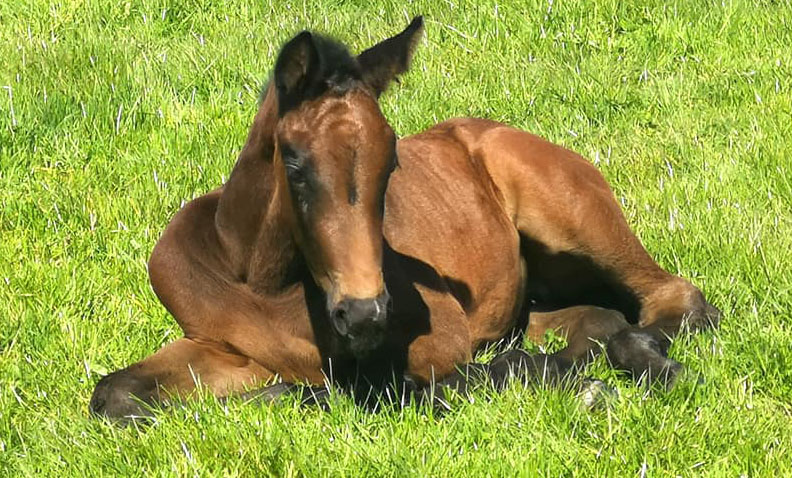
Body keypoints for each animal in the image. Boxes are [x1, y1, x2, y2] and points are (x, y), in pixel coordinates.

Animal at [89, 16, 720, 420]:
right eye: (293, 164)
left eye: (391, 160)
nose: (364, 314)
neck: (257, 284)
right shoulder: (221, 348)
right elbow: (114, 395)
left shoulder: (442, 339)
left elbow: (403, 386)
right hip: (536, 300)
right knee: (597, 319)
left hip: (573, 218)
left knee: (673, 300)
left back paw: (644, 362)